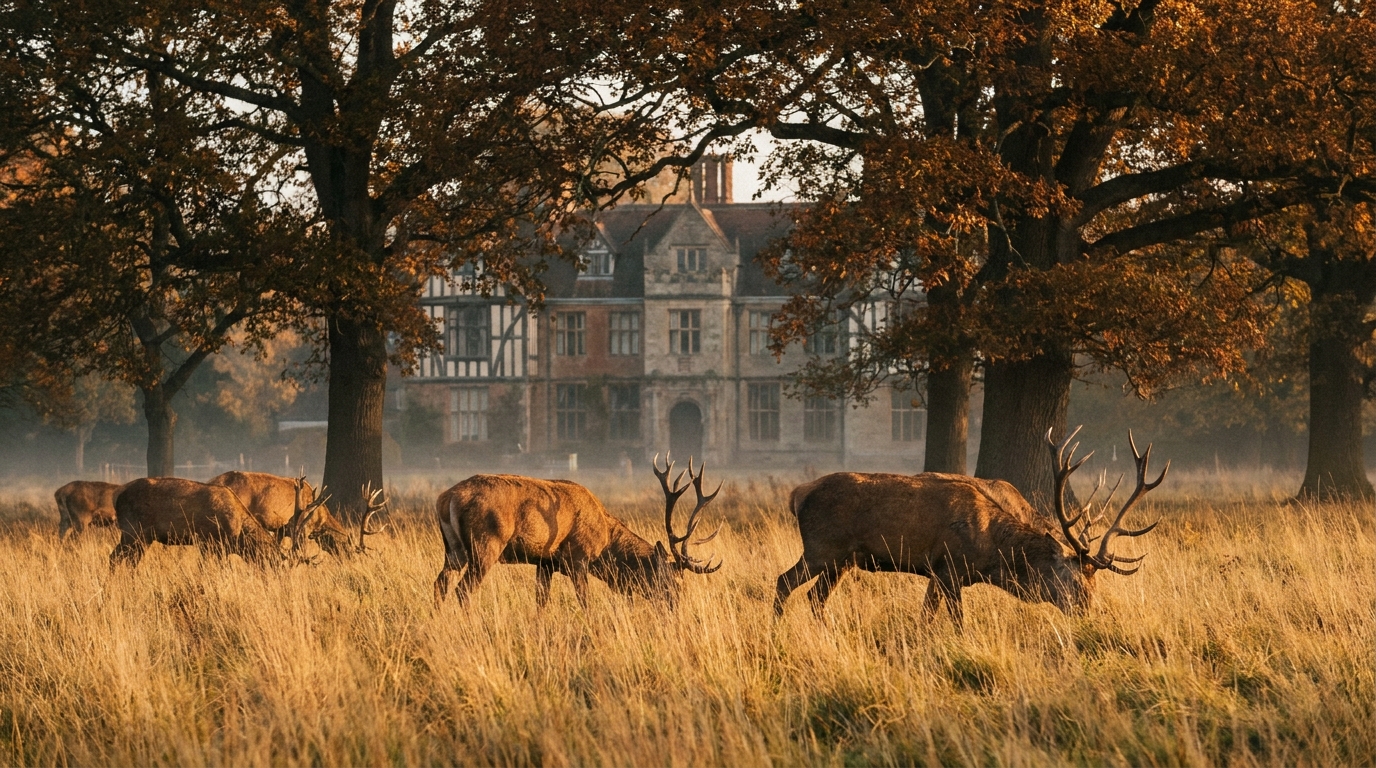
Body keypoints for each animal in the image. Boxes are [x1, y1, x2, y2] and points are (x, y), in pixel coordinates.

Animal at [109, 477, 285, 570]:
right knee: (120, 559)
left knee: (122, 559)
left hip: (138, 538)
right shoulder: (209, 543)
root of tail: (117, 498)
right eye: (274, 562)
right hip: (134, 533)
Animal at [433, 454, 722, 609]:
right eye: (671, 580)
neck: (605, 544)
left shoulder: (545, 562)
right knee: (462, 591)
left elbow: (541, 603)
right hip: (485, 545)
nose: (675, 607)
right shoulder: (578, 559)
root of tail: (446, 498)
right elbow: (585, 603)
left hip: (453, 549)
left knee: (440, 583)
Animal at [775, 427, 1166, 626]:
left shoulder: (939, 574)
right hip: (821, 548)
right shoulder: (948, 568)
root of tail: (797, 494)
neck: (993, 553)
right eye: (1073, 580)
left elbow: (927, 618)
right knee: (783, 582)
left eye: (1094, 581)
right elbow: (953, 622)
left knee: (814, 598)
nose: (1089, 612)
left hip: (841, 561)